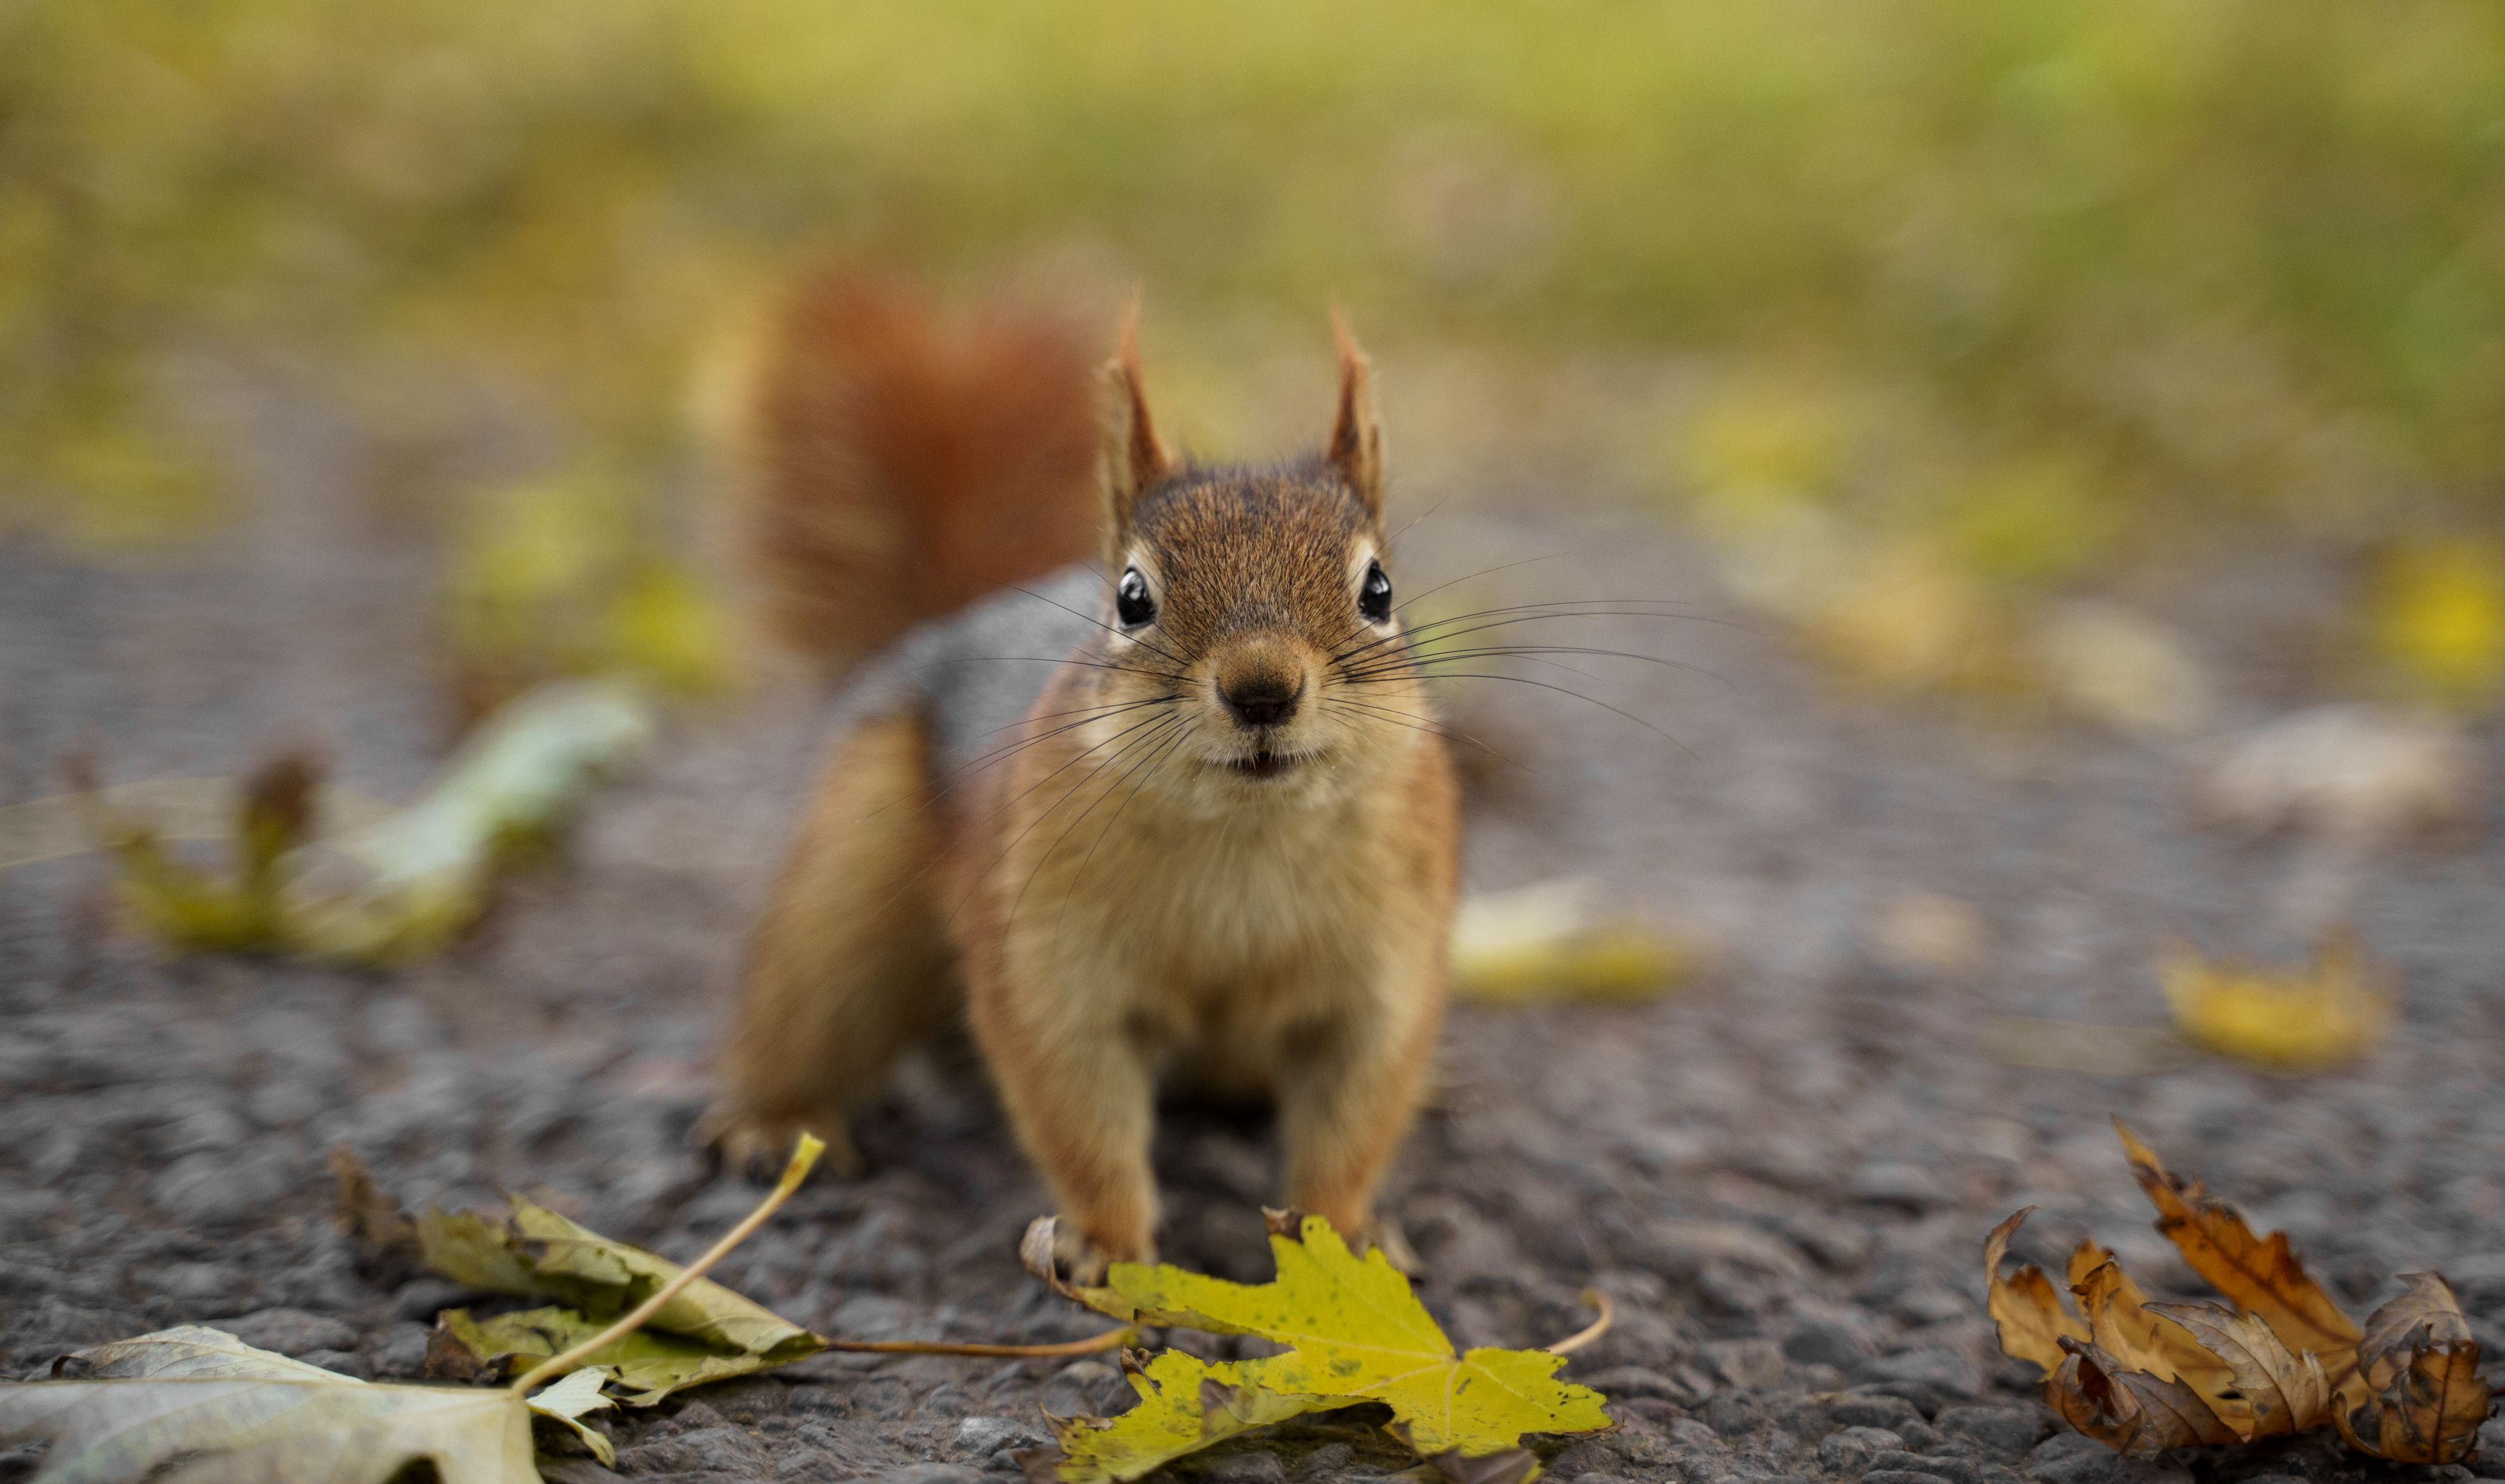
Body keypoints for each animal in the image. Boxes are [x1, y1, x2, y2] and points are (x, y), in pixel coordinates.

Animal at [701, 268, 1458, 1281]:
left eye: (1379, 591)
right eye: (1131, 599)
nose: (1262, 689)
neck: (1247, 832)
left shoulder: (1387, 967)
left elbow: (1354, 1116)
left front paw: (1344, 1242)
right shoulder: (1044, 955)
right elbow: (1075, 1102)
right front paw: (1105, 1248)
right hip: (849, 883)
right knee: (808, 1004)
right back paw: (775, 1124)